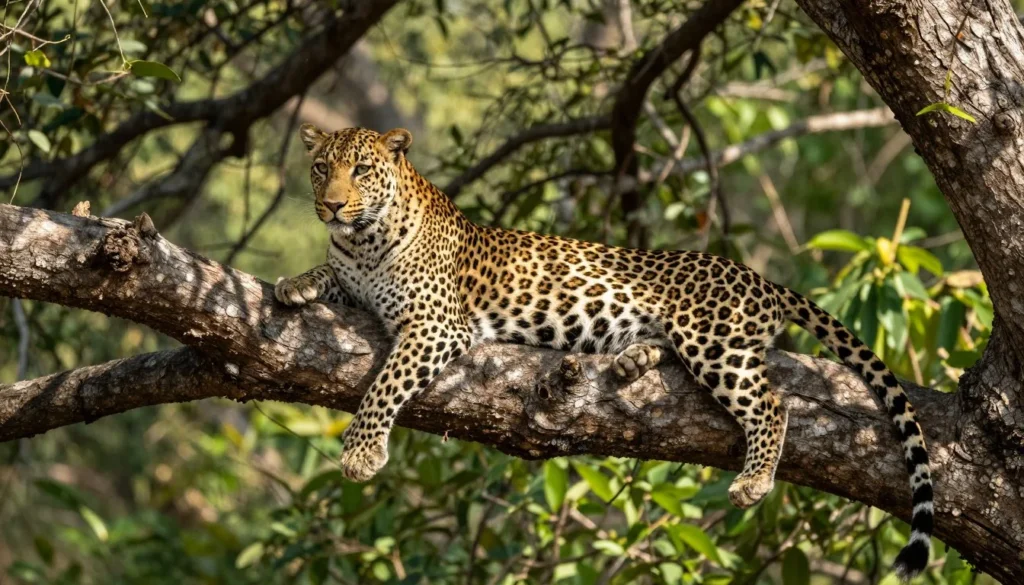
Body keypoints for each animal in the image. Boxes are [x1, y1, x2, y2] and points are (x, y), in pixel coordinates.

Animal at [274, 124, 934, 579]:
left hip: (713, 341)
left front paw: (360, 453)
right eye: (320, 169)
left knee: (773, 404)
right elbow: (327, 276)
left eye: (361, 170)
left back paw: (751, 481)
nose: (331, 205)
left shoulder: (436, 324)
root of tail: (758, 277)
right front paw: (294, 283)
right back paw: (632, 359)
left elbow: (385, 384)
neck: (363, 242)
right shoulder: (353, 278)